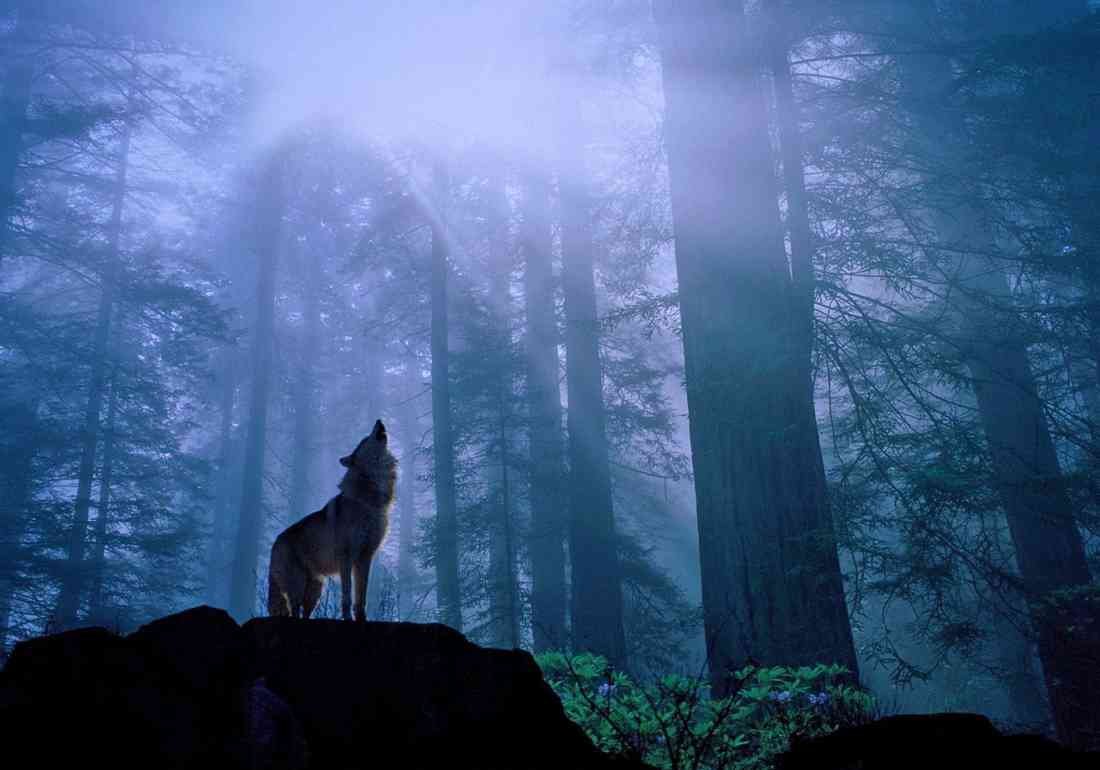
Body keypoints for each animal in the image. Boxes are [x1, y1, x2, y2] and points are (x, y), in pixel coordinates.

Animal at [267, 419, 397, 621]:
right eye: (364, 439)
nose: (379, 420)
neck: (369, 499)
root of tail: (275, 542)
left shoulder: (365, 558)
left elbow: (361, 597)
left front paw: (361, 619)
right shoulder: (346, 558)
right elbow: (347, 595)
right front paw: (347, 618)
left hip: (315, 591)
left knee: (305, 612)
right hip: (298, 585)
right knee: (294, 610)